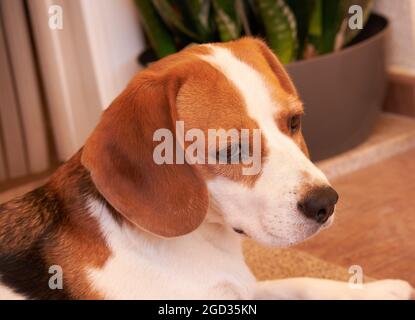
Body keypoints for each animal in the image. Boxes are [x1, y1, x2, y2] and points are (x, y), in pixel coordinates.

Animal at [0, 38, 414, 300]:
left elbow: (299, 282)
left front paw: (375, 289)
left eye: (294, 122)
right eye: (231, 150)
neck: (204, 241)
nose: (326, 202)